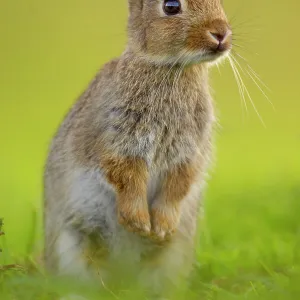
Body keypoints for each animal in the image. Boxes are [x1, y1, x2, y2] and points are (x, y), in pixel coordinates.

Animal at [44, 0, 232, 296]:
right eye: (171, 6)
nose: (221, 33)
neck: (170, 67)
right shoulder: (117, 143)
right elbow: (126, 178)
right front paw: (140, 222)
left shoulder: (189, 154)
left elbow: (178, 184)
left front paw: (162, 227)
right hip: (73, 241)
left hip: (173, 254)